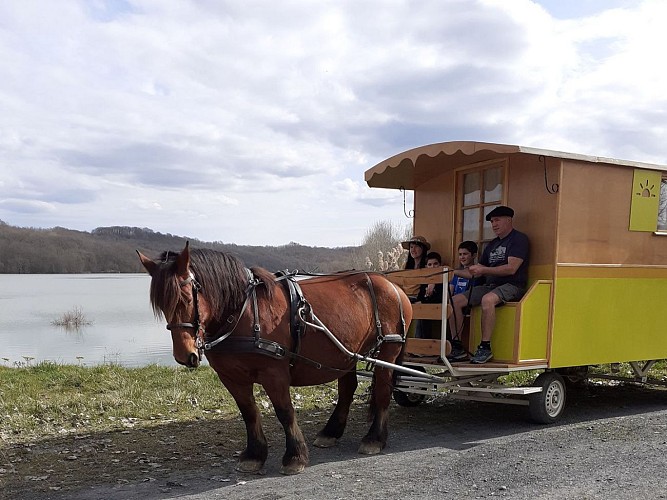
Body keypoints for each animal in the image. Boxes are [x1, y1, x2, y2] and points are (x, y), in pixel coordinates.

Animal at [138, 244, 412, 474]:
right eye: (161, 305)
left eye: (184, 298)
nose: (185, 356)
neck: (244, 311)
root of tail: (391, 284)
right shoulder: (231, 377)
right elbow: (249, 413)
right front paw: (254, 455)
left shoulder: (274, 373)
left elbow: (284, 412)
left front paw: (295, 457)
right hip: (346, 354)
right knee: (347, 389)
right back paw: (331, 432)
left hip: (389, 349)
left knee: (382, 391)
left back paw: (375, 438)